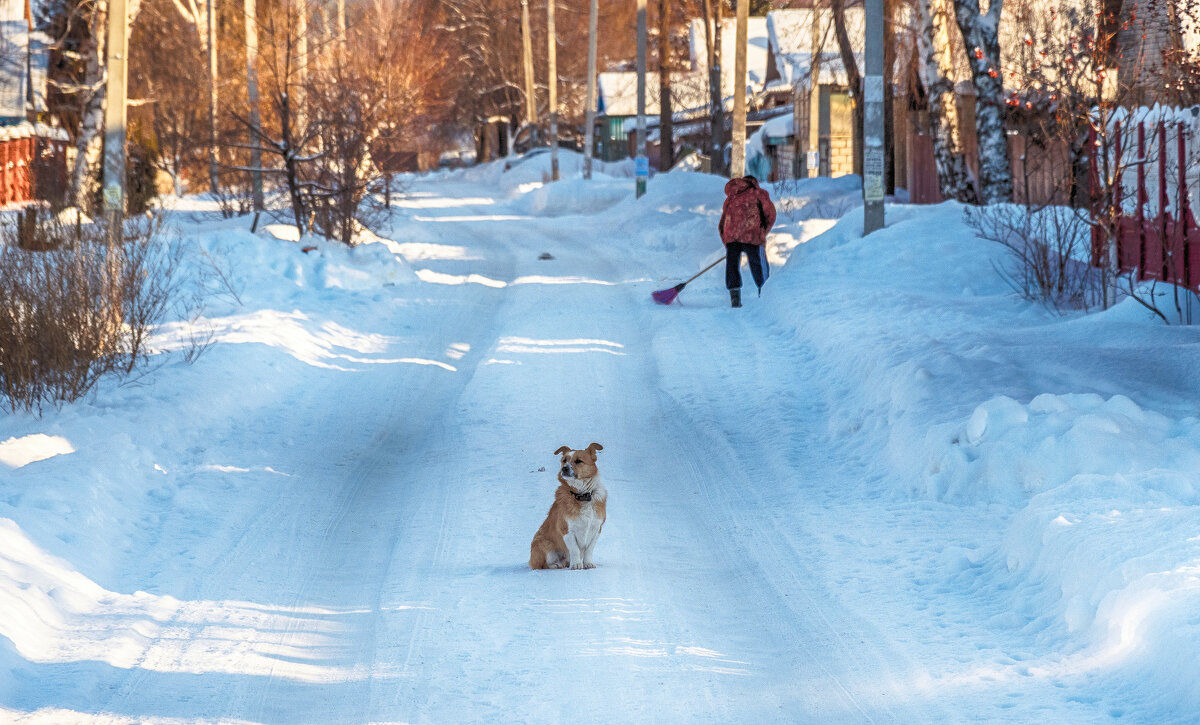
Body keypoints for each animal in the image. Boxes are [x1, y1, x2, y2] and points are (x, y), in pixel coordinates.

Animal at [532, 441, 609, 571]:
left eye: (578, 461)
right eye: (564, 460)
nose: (564, 468)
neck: (582, 495)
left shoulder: (597, 528)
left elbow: (589, 550)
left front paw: (588, 563)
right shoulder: (567, 530)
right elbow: (575, 550)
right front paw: (577, 564)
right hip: (544, 545)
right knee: (542, 565)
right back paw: (557, 564)